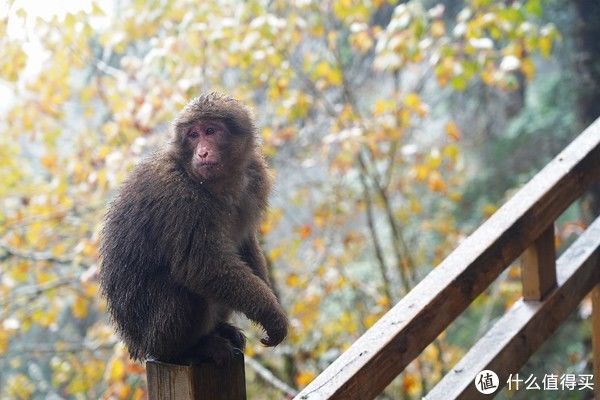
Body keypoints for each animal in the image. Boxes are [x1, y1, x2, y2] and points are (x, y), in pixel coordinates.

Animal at [98, 92, 288, 364]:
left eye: (210, 131)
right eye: (193, 135)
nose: (202, 152)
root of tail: (137, 344)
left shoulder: (255, 177)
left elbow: (244, 244)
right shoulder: (179, 198)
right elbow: (202, 266)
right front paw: (271, 315)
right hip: (158, 334)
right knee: (187, 289)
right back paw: (192, 348)